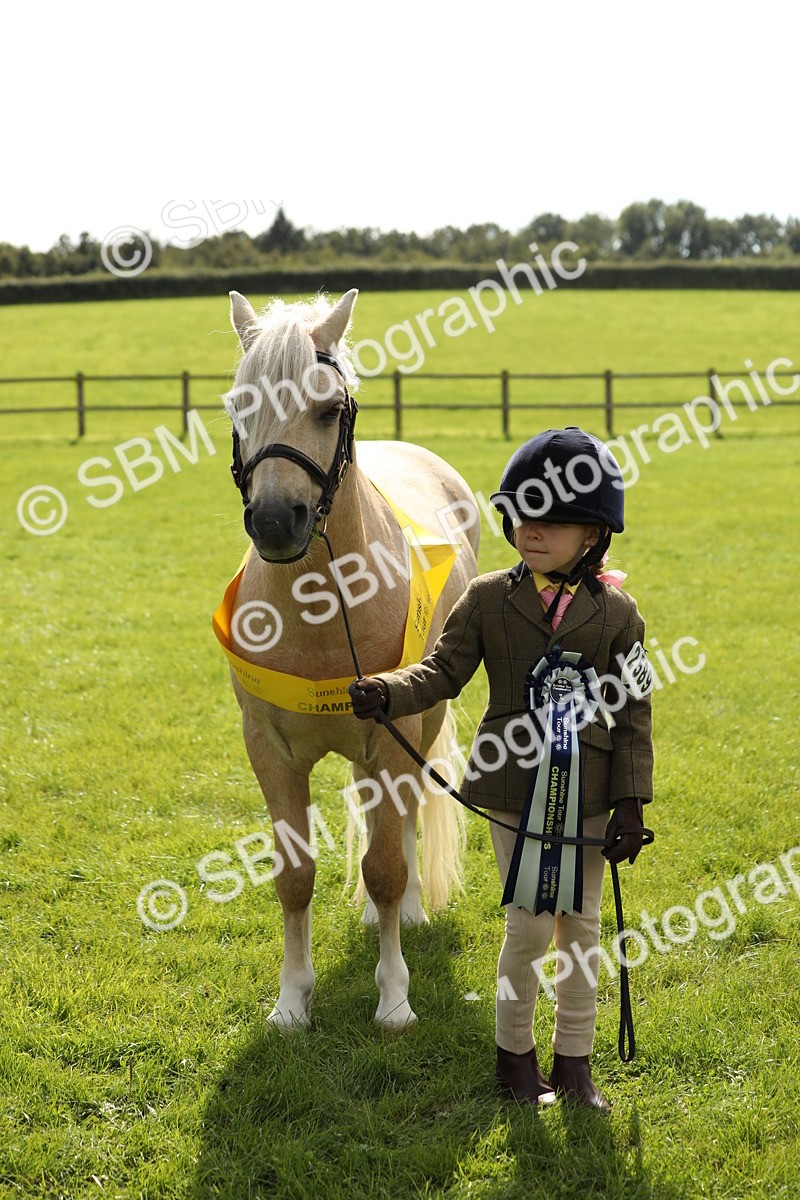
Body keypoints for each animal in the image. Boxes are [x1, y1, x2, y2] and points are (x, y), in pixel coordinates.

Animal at [218, 288, 480, 1029]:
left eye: (329, 409)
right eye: (239, 406)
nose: (276, 520)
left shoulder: (391, 739)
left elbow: (388, 866)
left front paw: (394, 999)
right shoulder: (269, 751)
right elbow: (294, 875)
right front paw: (291, 1002)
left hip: (415, 727)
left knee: (404, 826)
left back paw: (408, 915)